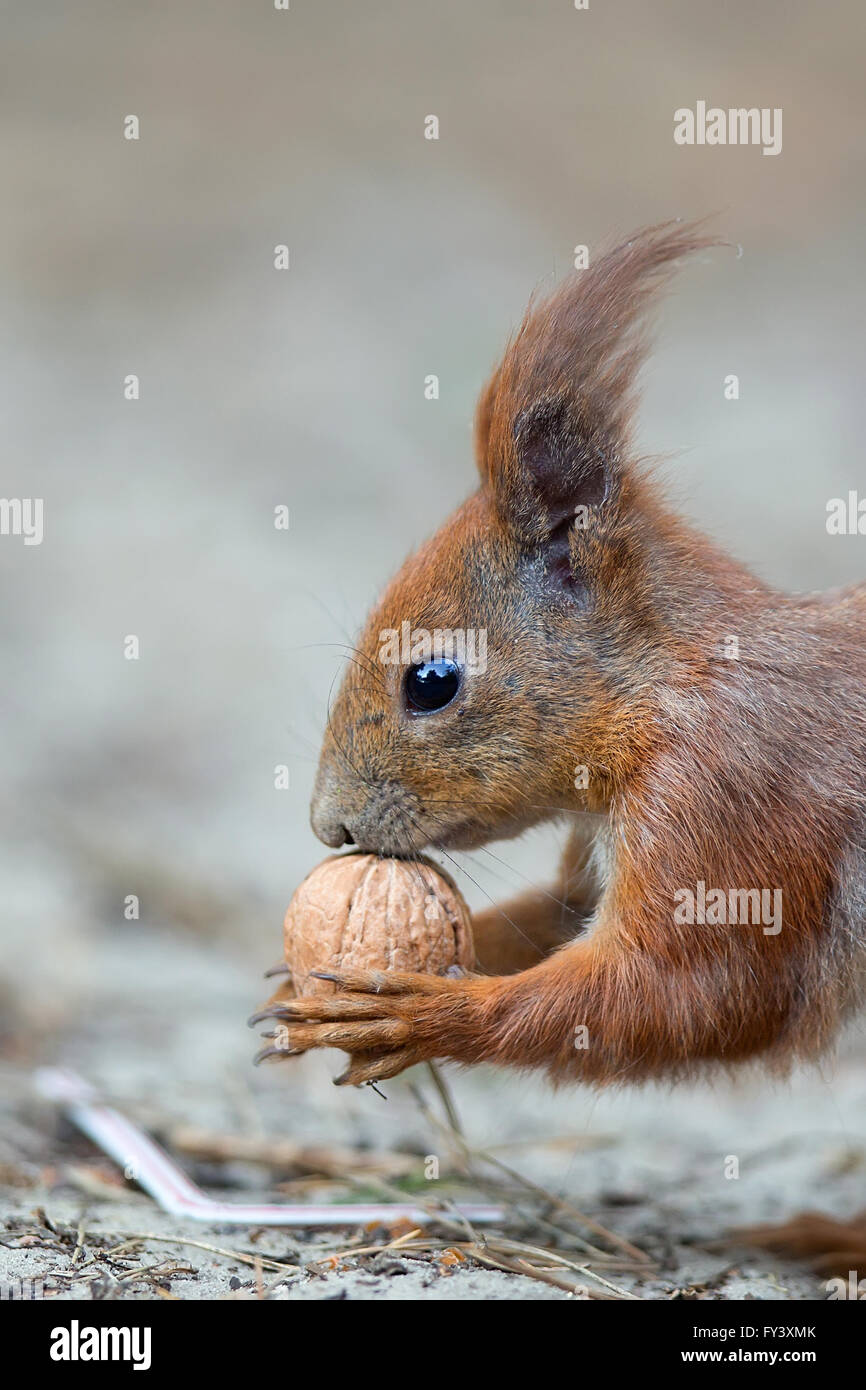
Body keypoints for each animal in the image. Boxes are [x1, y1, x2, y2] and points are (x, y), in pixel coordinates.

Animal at [261, 222, 861, 1273]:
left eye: (430, 682)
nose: (329, 826)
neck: (664, 694)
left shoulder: (729, 805)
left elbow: (692, 992)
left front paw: (428, 1014)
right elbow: (550, 918)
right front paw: (300, 986)